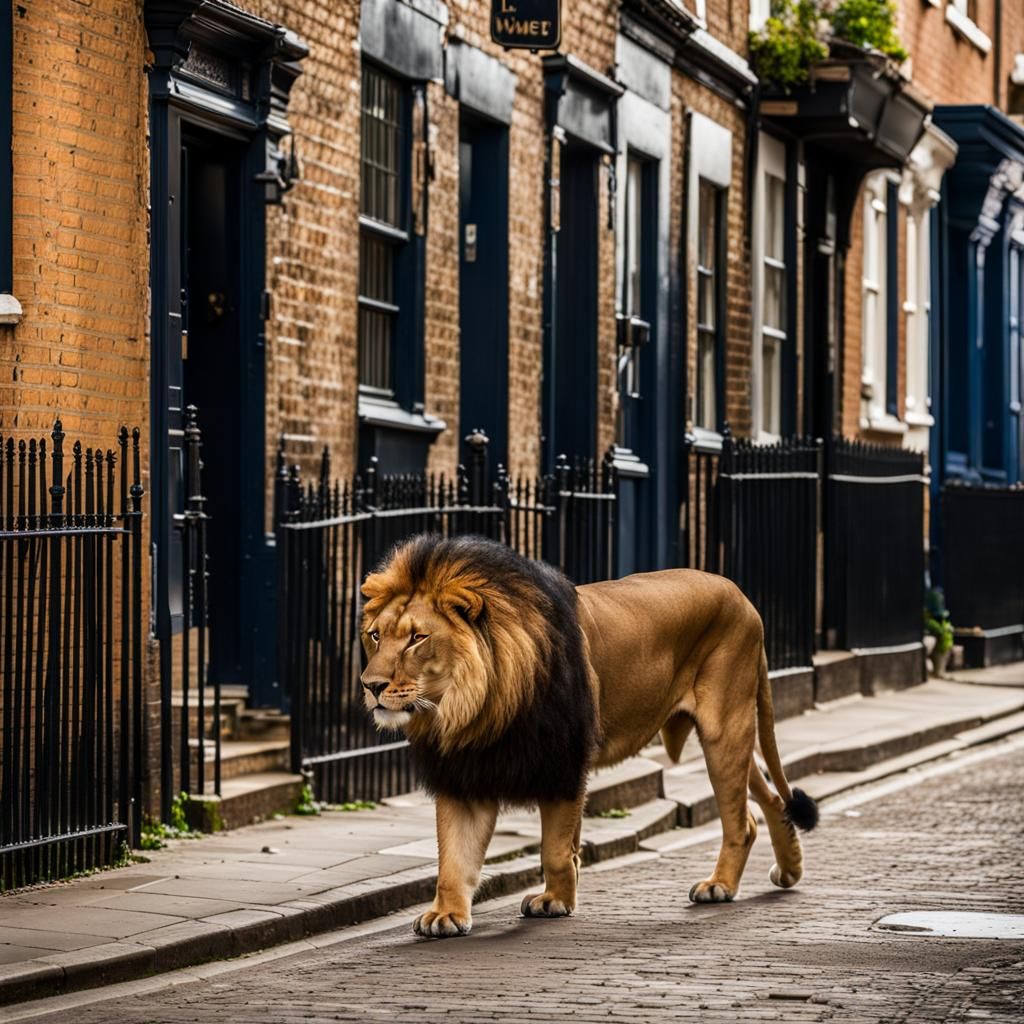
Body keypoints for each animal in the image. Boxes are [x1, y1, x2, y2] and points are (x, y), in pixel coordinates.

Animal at [360, 534, 817, 938]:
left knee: (740, 821)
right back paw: (790, 869)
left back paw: (720, 886)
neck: (472, 706)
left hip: (725, 728)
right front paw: (446, 915)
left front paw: (556, 900)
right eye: (376, 635)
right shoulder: (465, 772)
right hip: (728, 736)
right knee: (768, 799)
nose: (371, 685)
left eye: (418, 638)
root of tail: (742, 597)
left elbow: (555, 850)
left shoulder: (565, 761)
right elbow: (454, 857)